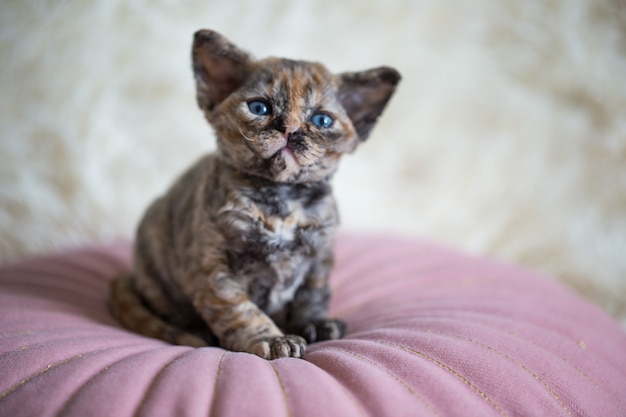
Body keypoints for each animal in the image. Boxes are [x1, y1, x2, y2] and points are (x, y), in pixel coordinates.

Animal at [108, 29, 400, 358]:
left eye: (322, 120)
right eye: (260, 107)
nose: (290, 129)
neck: (281, 199)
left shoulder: (319, 258)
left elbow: (313, 295)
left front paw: (314, 323)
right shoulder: (214, 272)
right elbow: (241, 311)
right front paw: (272, 339)